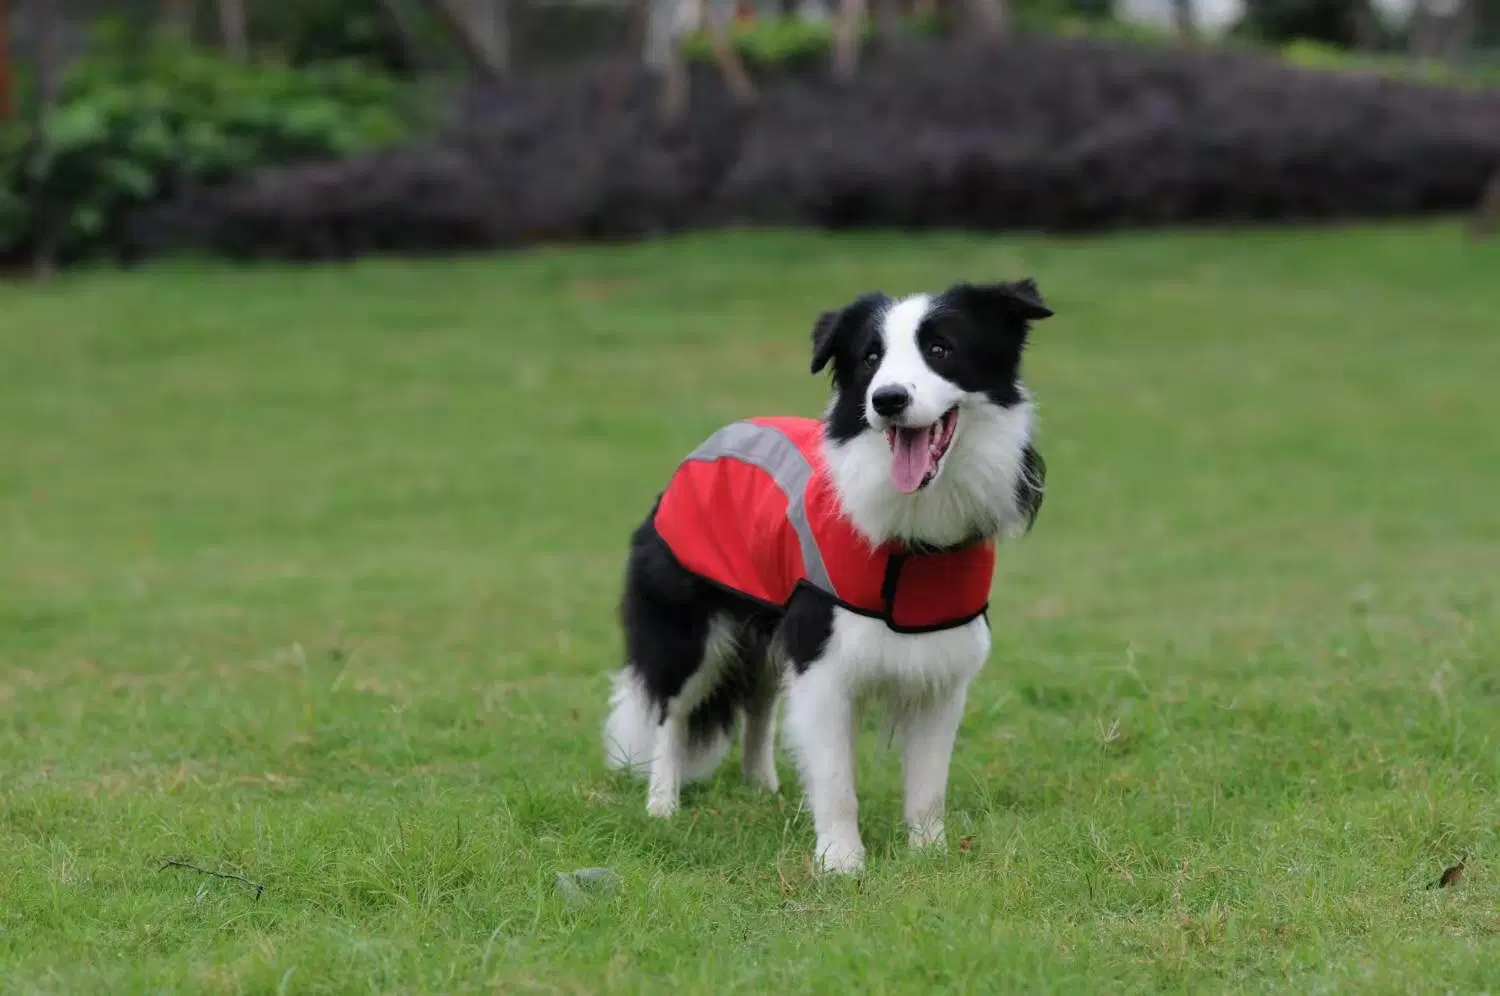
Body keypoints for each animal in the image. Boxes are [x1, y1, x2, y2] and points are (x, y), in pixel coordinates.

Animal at [600, 277, 1056, 870]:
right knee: (669, 714)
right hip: (691, 630)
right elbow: (837, 778)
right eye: (870, 358)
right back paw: (662, 804)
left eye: (941, 349)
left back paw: (761, 788)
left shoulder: (942, 665)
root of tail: (704, 448)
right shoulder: (822, 657)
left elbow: (928, 783)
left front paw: (930, 854)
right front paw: (840, 862)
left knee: (760, 702)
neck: (912, 535)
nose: (888, 400)